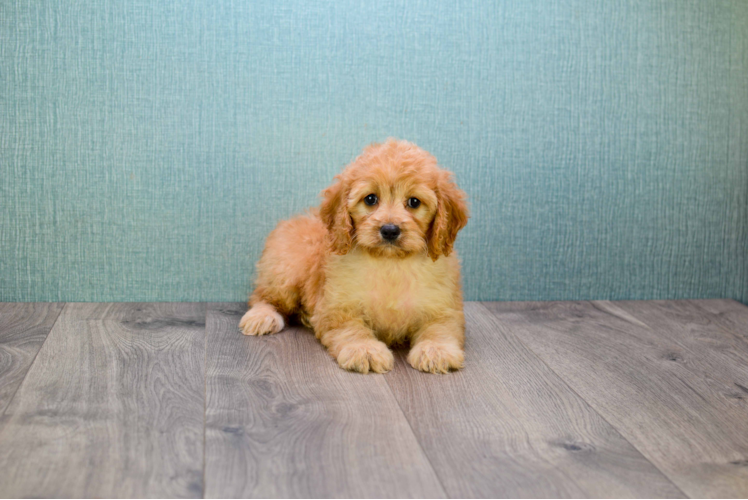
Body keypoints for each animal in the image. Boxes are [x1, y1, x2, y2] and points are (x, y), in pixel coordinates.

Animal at [240, 139, 468, 374]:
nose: (389, 230)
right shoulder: (339, 307)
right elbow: (352, 329)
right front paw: (364, 350)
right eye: (370, 199)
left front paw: (436, 349)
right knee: (263, 296)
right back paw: (262, 316)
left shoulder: (443, 307)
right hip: (285, 271)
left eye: (414, 202)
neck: (390, 262)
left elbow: (440, 328)